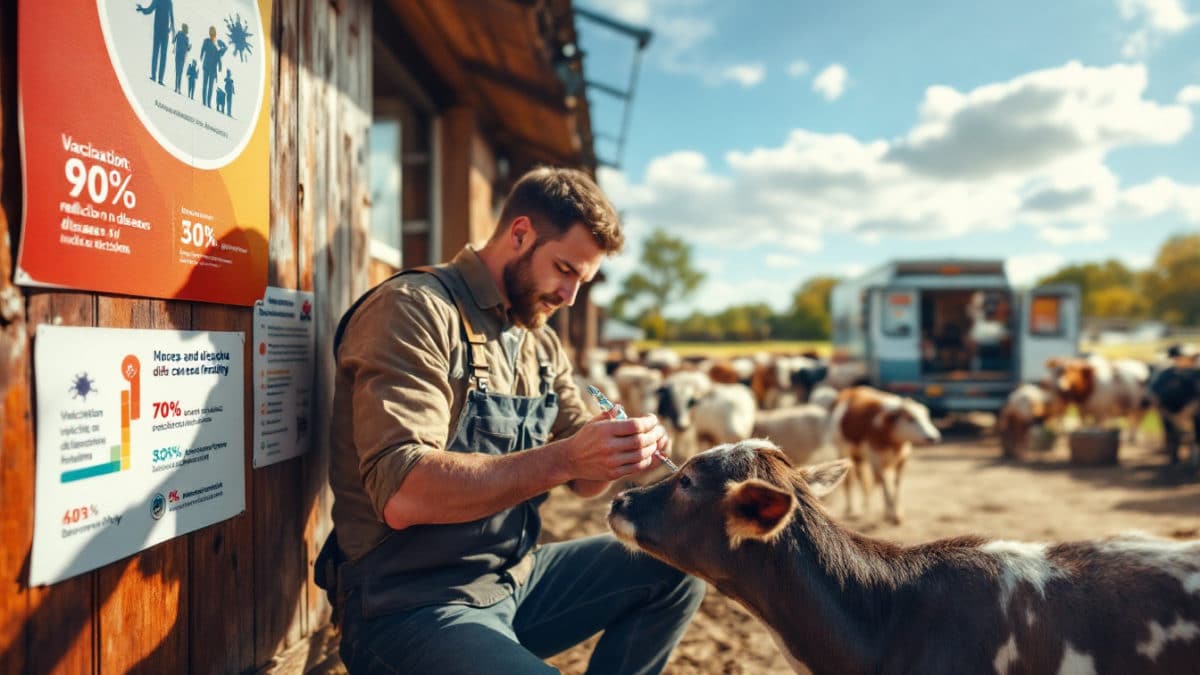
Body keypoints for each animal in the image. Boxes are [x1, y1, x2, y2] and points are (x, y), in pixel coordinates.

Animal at [830, 386, 940, 523]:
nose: (933, 437)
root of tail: (852, 390)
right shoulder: (876, 458)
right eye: (910, 418)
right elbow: (885, 483)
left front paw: (896, 512)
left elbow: (896, 483)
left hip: (858, 455)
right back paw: (852, 509)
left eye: (927, 417)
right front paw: (891, 514)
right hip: (842, 450)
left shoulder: (902, 458)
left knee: (862, 479)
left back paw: (865, 504)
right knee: (850, 479)